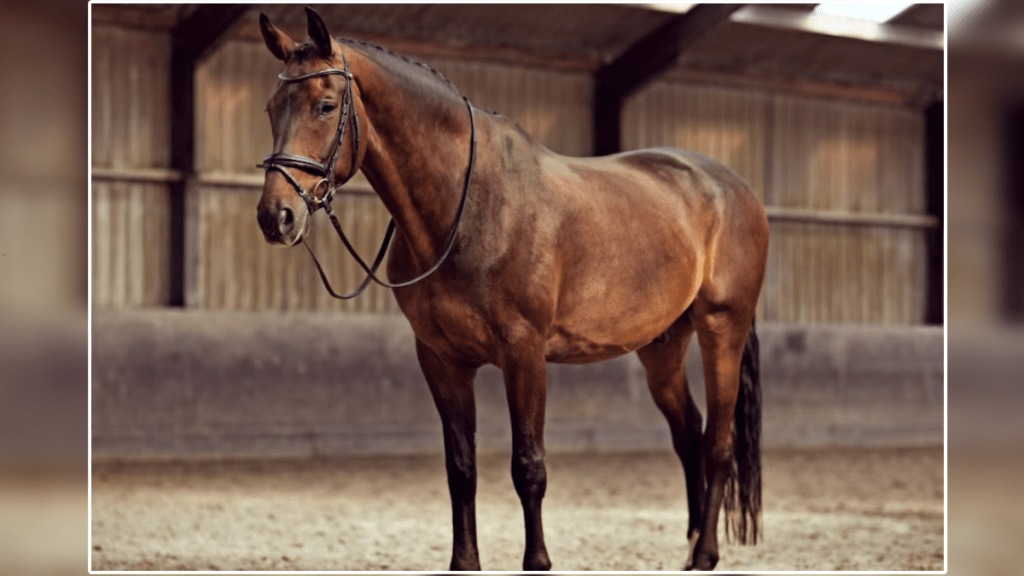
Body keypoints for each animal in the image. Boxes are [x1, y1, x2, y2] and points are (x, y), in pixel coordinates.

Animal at [255, 8, 768, 571]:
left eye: (325, 106)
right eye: (271, 108)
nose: (277, 216)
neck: (469, 205)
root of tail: (733, 188)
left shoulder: (524, 354)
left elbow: (529, 467)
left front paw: (537, 560)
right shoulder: (442, 360)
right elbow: (461, 468)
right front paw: (464, 561)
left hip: (722, 330)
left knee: (718, 443)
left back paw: (705, 553)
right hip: (662, 346)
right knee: (689, 434)